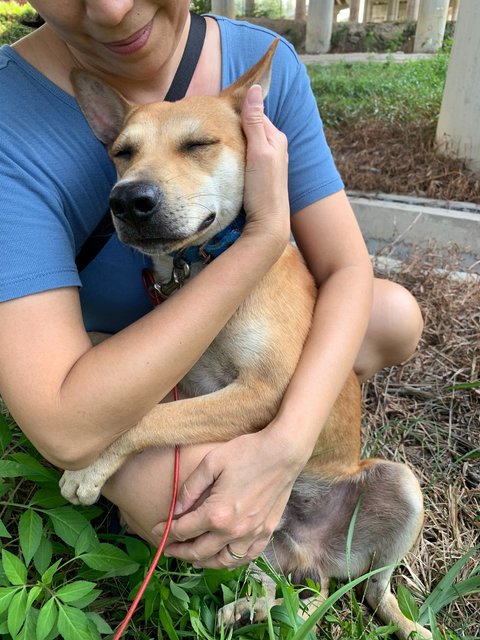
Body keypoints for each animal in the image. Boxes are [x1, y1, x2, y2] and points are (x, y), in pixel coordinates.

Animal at [60, 42, 432, 636]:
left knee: (375, 590)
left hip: (399, 485)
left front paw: (88, 468)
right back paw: (248, 606)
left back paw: (408, 623)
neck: (200, 268)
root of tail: (310, 556)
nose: (128, 198)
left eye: (199, 144)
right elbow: (120, 367)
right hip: (248, 544)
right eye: (122, 152)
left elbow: (150, 417)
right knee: (277, 587)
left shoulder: (264, 391)